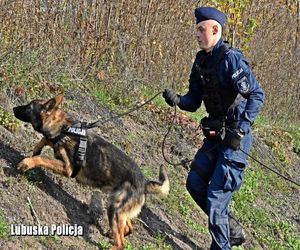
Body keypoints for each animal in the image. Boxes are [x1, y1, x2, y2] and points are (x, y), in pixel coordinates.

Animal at [12, 94, 170, 249]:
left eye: (29, 107)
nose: (13, 108)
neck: (64, 129)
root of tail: (144, 182)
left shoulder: (67, 168)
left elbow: (42, 157)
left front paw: (28, 162)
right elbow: (44, 141)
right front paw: (36, 149)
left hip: (114, 209)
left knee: (121, 243)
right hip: (119, 211)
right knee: (128, 228)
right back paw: (111, 234)